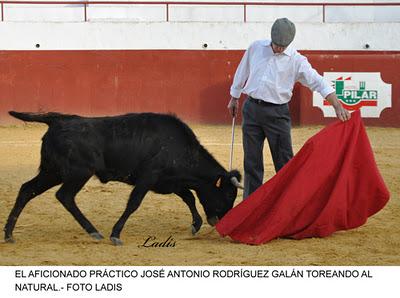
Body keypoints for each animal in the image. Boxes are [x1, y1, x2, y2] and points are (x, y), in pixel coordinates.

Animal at [4, 111, 242, 244]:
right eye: (228, 195)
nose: (221, 222)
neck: (181, 148)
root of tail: (58, 120)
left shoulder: (169, 181)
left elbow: (189, 197)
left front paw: (195, 224)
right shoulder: (148, 178)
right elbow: (134, 203)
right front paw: (116, 234)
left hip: (52, 172)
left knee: (27, 190)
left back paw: (8, 234)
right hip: (78, 173)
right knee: (65, 196)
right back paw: (94, 232)